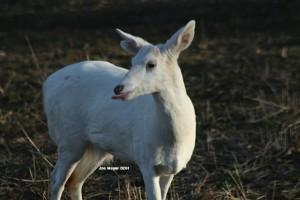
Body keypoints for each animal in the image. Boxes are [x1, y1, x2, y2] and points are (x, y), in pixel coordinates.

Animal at [42, 19, 197, 200]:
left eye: (151, 64)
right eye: (132, 62)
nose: (118, 88)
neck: (173, 139)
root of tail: (47, 85)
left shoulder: (170, 170)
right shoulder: (145, 160)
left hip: (95, 147)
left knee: (75, 180)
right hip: (68, 137)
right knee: (57, 179)